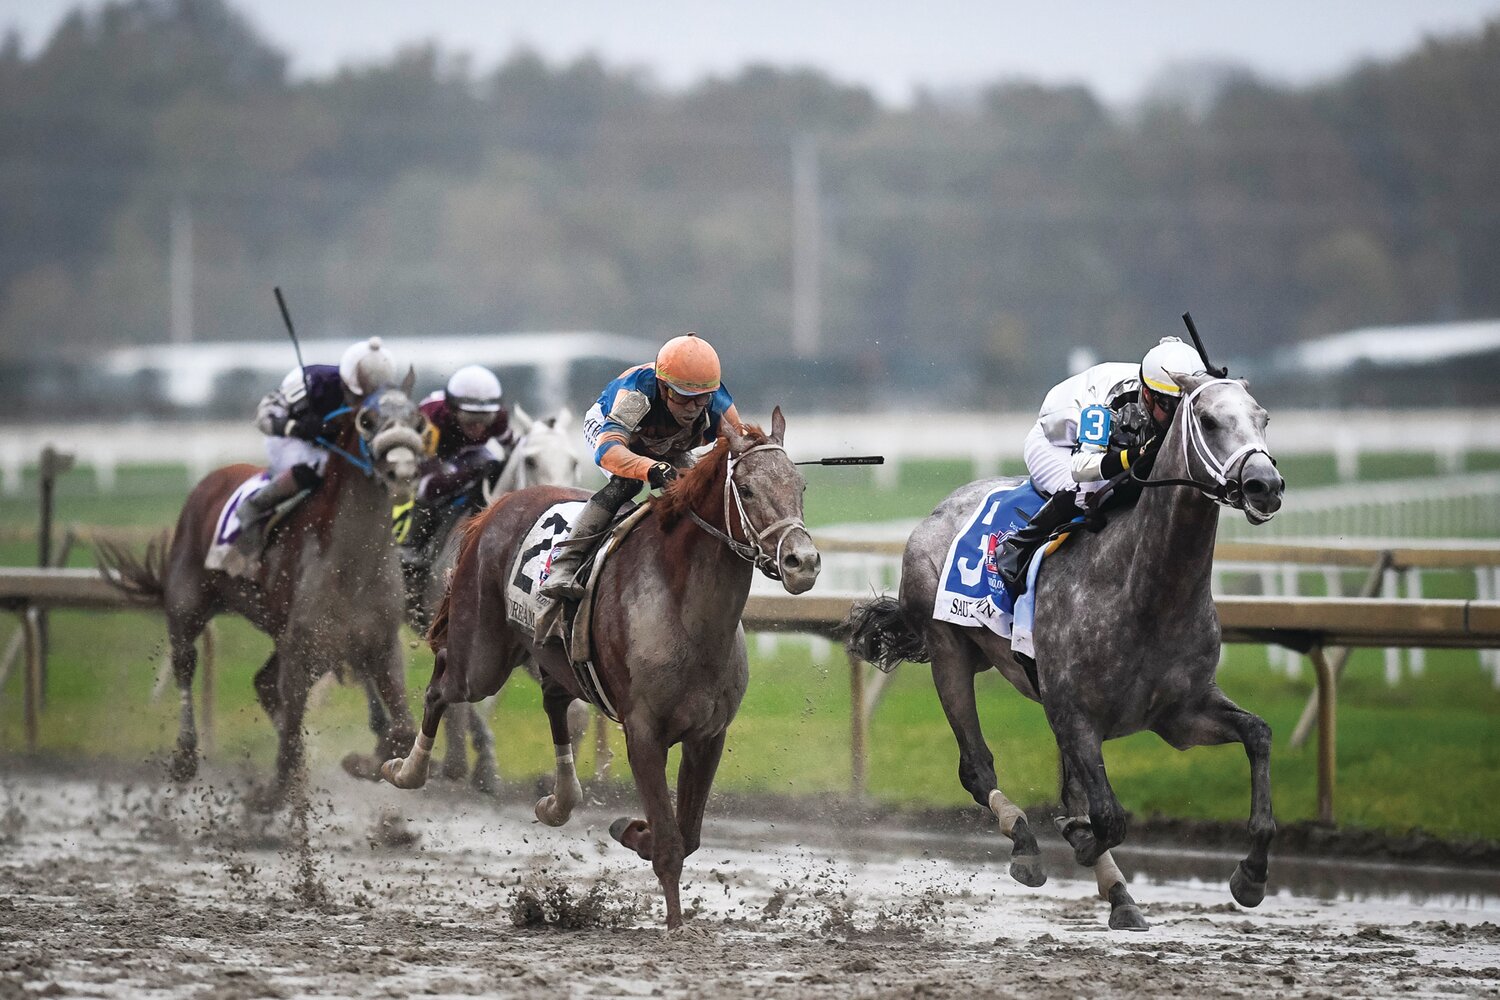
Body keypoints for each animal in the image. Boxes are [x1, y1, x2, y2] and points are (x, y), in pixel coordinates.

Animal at [378, 407, 822, 929]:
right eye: (747, 490)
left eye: (801, 485)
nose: (803, 562)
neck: (687, 614)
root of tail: (500, 504)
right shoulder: (644, 734)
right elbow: (671, 845)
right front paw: (675, 925)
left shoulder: (709, 735)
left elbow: (689, 833)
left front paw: (633, 830)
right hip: (481, 662)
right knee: (441, 687)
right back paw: (407, 769)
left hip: (552, 659)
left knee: (555, 705)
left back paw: (559, 801)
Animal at [852, 374, 1284, 929]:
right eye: (1208, 421)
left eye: (1263, 417)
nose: (1265, 485)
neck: (1146, 591)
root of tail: (937, 510)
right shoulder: (1076, 715)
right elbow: (1109, 817)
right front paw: (1074, 840)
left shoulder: (1180, 715)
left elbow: (1259, 734)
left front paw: (1251, 874)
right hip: (948, 650)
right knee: (977, 767)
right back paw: (1026, 845)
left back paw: (1119, 892)